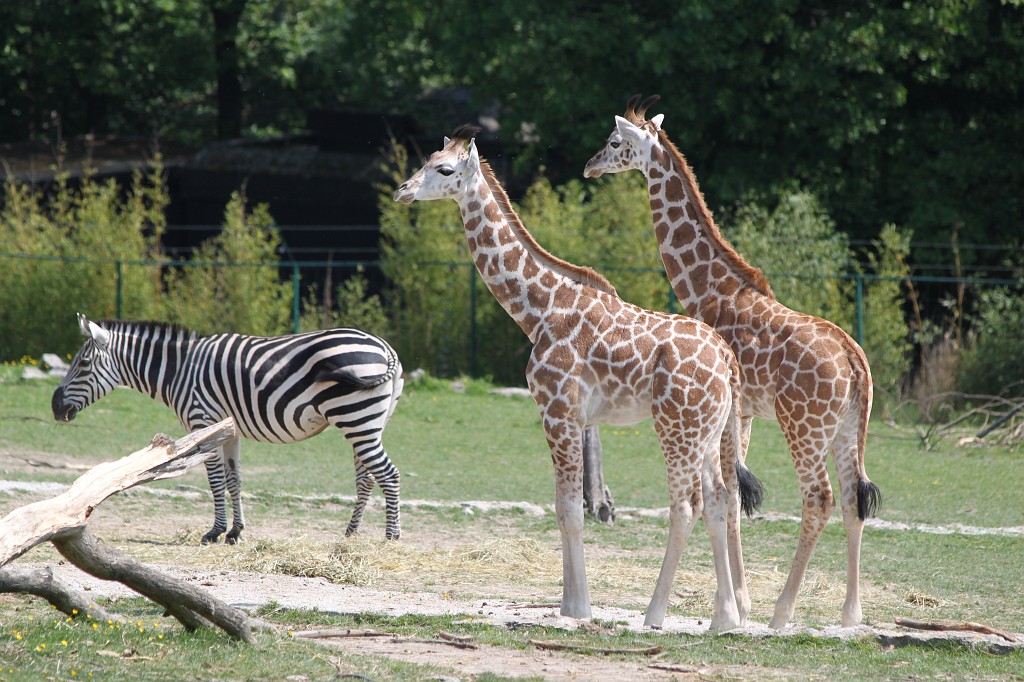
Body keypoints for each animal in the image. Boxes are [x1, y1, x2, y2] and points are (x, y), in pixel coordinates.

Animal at [52, 313, 405, 542]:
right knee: (367, 478)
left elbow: (216, 481)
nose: (55, 407)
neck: (179, 370)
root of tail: (386, 348)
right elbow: (235, 481)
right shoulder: (229, 429)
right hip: (366, 423)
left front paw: (215, 532)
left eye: (83, 364)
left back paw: (391, 537)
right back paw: (350, 536)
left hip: (355, 419)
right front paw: (236, 532)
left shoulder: (203, 422)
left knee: (388, 474)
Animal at [393, 126, 763, 629]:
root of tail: (727, 359)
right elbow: (562, 506)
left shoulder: (558, 411)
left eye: (445, 169)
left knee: (686, 506)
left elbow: (571, 510)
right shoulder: (569, 417)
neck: (538, 312)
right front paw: (568, 602)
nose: (403, 190)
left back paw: (655, 614)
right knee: (721, 500)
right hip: (708, 430)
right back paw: (724, 618)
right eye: (426, 160)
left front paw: (578, 608)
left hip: (676, 428)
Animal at [583, 95, 882, 629]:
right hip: (848, 426)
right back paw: (850, 615)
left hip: (803, 425)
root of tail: (855, 361)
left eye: (615, 142)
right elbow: (736, 497)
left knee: (820, 498)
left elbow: (726, 492)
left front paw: (737, 607)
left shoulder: (732, 409)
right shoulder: (743, 413)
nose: (589, 166)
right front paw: (737, 603)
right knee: (853, 498)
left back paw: (783, 612)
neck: (709, 287)